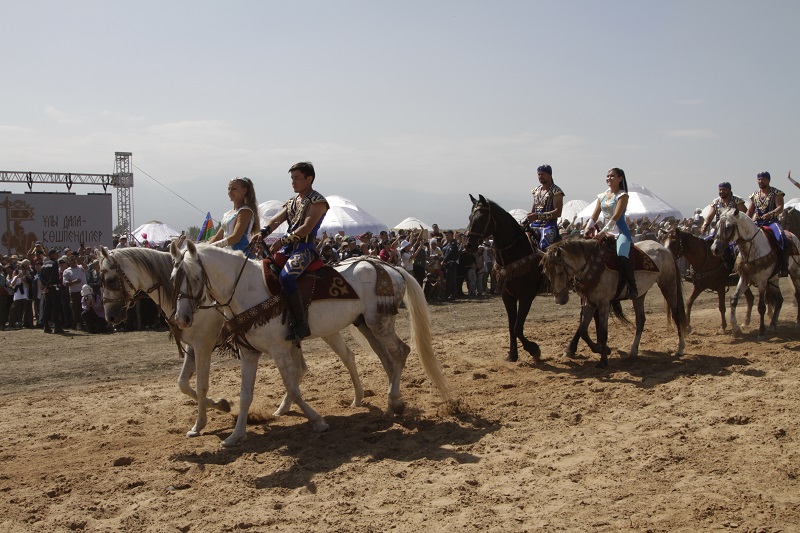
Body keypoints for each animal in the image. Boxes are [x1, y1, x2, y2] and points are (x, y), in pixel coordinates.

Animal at [99, 246, 367, 447]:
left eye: (110, 279)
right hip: (321, 333)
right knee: (319, 364)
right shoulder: (193, 348)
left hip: (322, 333)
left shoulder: (203, 346)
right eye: (101, 279)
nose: (110, 317)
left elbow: (201, 385)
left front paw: (204, 420)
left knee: (342, 359)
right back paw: (287, 407)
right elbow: (183, 384)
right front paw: (218, 408)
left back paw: (355, 399)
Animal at [169, 240, 451, 445]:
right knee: (386, 358)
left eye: (195, 278)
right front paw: (236, 435)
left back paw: (393, 401)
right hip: (366, 325)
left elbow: (293, 387)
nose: (182, 318)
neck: (249, 290)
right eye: (173, 278)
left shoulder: (279, 349)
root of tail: (391, 267)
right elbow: (245, 395)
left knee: (401, 352)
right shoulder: (250, 353)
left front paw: (318, 421)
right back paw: (391, 406)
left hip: (379, 322)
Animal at [465, 195, 545, 362]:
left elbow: (517, 327)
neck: (517, 252)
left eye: (481, 218)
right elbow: (511, 326)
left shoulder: (526, 297)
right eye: (470, 217)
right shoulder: (507, 296)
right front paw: (513, 354)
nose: (468, 245)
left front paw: (534, 349)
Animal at [542, 238, 687, 368]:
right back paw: (633, 351)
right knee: (640, 320)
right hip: (640, 295)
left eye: (560, 272)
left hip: (668, 286)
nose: (559, 300)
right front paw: (601, 349)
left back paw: (680, 348)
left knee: (676, 315)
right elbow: (583, 330)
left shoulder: (604, 304)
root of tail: (664, 249)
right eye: (546, 272)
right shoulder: (590, 303)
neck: (593, 266)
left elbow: (603, 332)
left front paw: (603, 360)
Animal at [710, 208, 800, 339]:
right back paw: (773, 324)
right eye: (716, 226)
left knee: (797, 294)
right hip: (773, 279)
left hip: (795, 273)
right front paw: (735, 328)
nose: (714, 249)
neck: (751, 249)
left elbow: (761, 306)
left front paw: (761, 331)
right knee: (779, 300)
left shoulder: (761, 282)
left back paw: (797, 321)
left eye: (728, 227)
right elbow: (734, 299)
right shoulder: (744, 278)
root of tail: (794, 236)